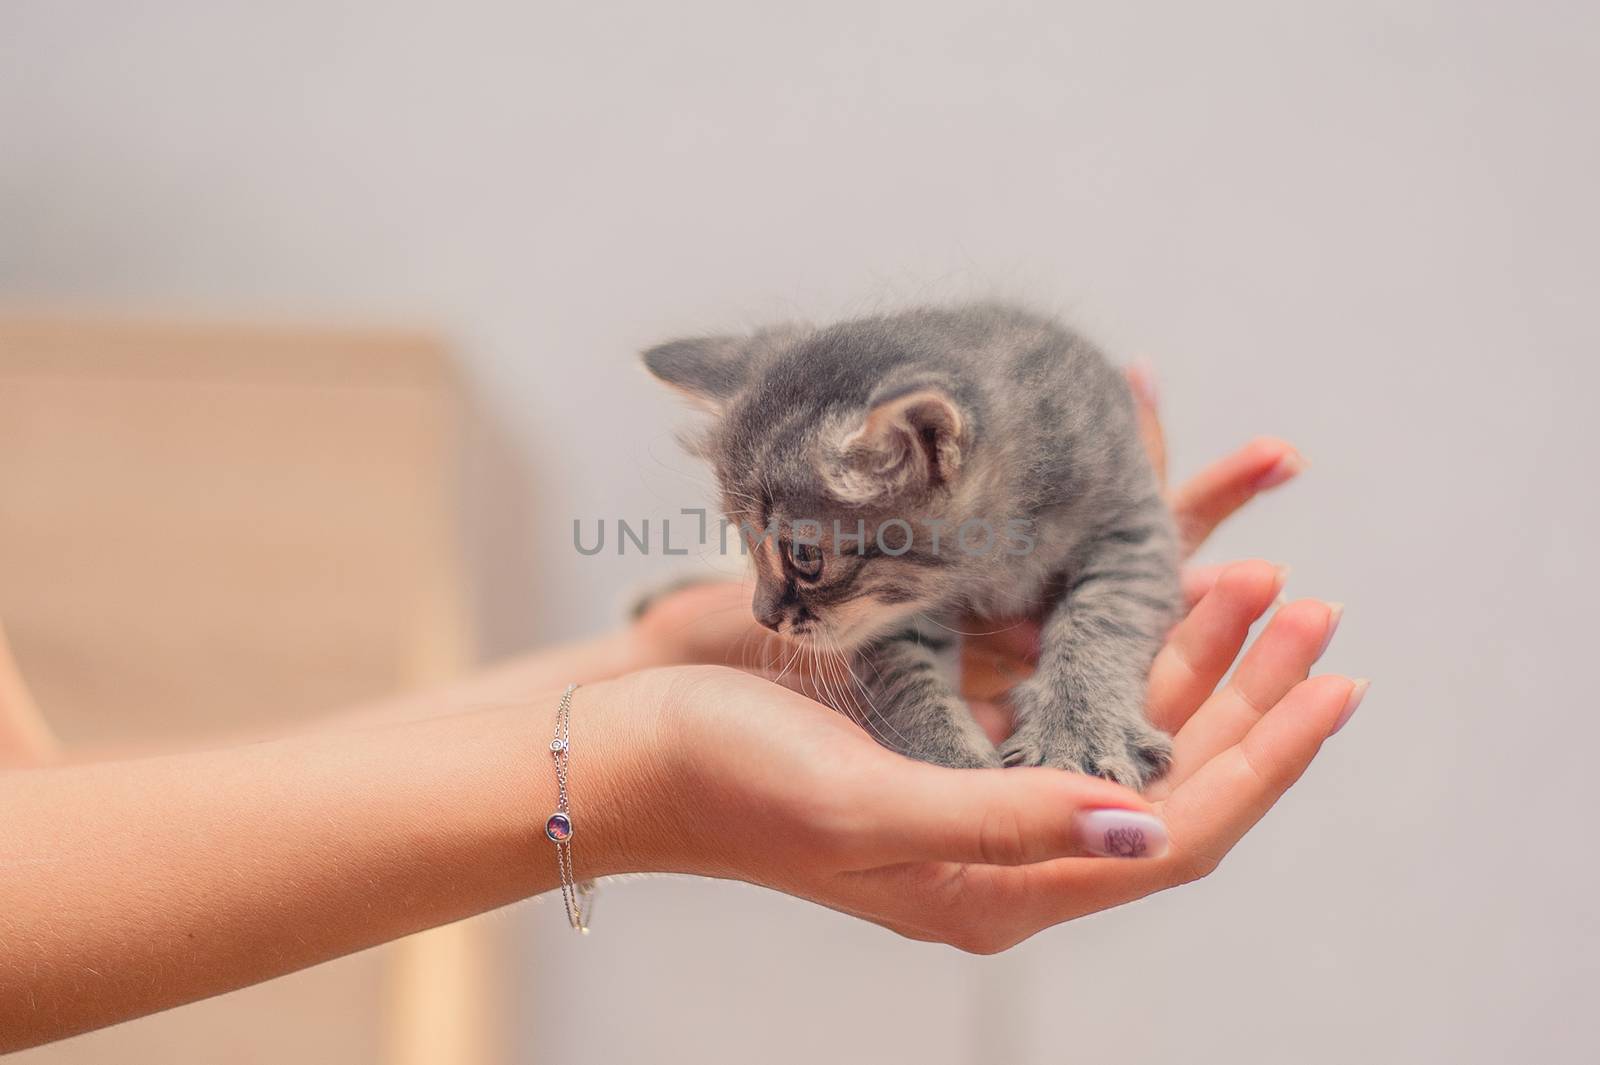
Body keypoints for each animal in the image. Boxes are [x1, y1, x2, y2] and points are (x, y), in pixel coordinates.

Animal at [643, 302, 1184, 783]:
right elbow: (905, 671)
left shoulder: (1132, 526)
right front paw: (946, 758)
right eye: (745, 540)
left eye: (804, 556)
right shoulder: (885, 619)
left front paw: (1079, 733)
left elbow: (1099, 620)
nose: (762, 618)